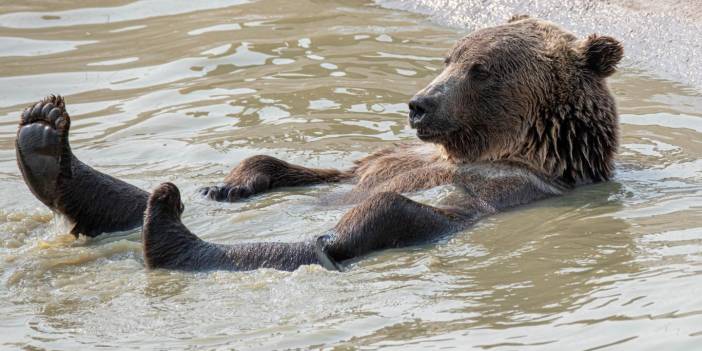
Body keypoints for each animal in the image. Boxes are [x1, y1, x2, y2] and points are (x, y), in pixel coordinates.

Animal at [13, 17, 624, 272]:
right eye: (449, 56)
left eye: (481, 69)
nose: (419, 104)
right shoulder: (384, 158)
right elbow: (301, 166)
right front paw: (230, 185)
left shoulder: (507, 188)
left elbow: (409, 204)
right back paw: (44, 138)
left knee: (352, 229)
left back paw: (169, 232)